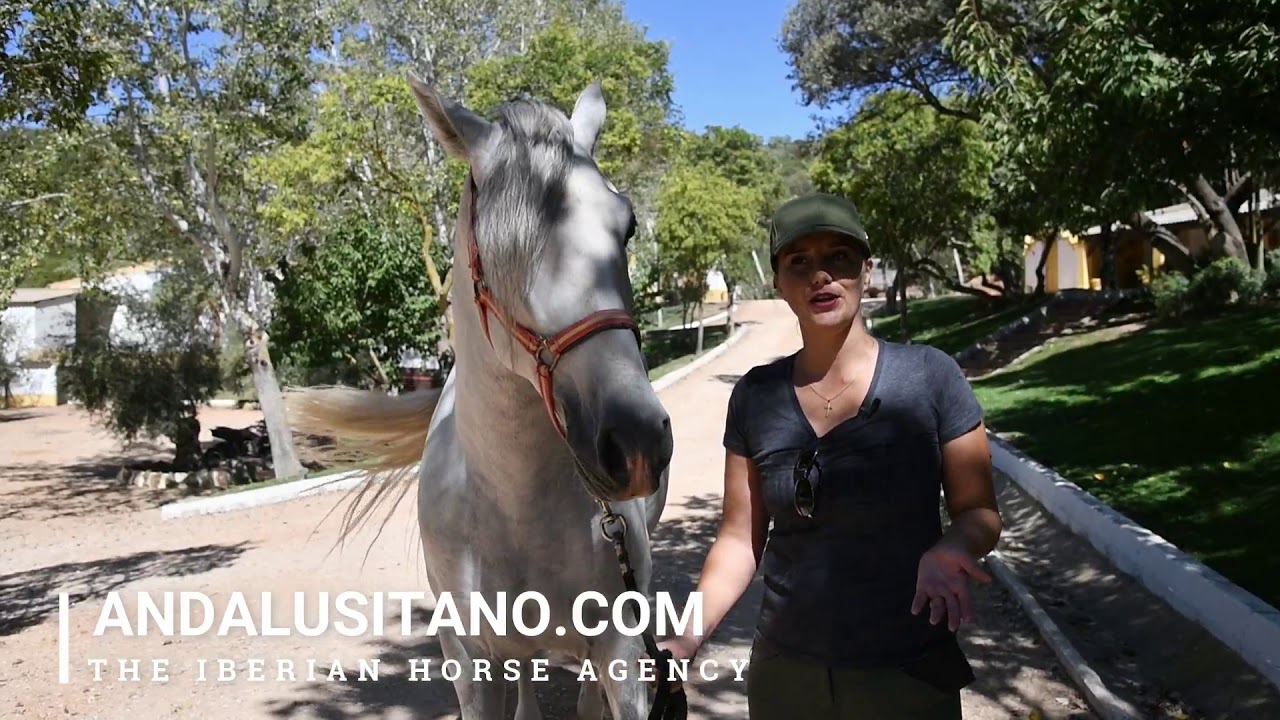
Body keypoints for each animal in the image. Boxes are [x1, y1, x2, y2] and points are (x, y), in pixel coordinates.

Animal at [286, 72, 679, 720]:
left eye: (628, 226)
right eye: (496, 252)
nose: (636, 441)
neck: (515, 510)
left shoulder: (622, 648)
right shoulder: (470, 659)